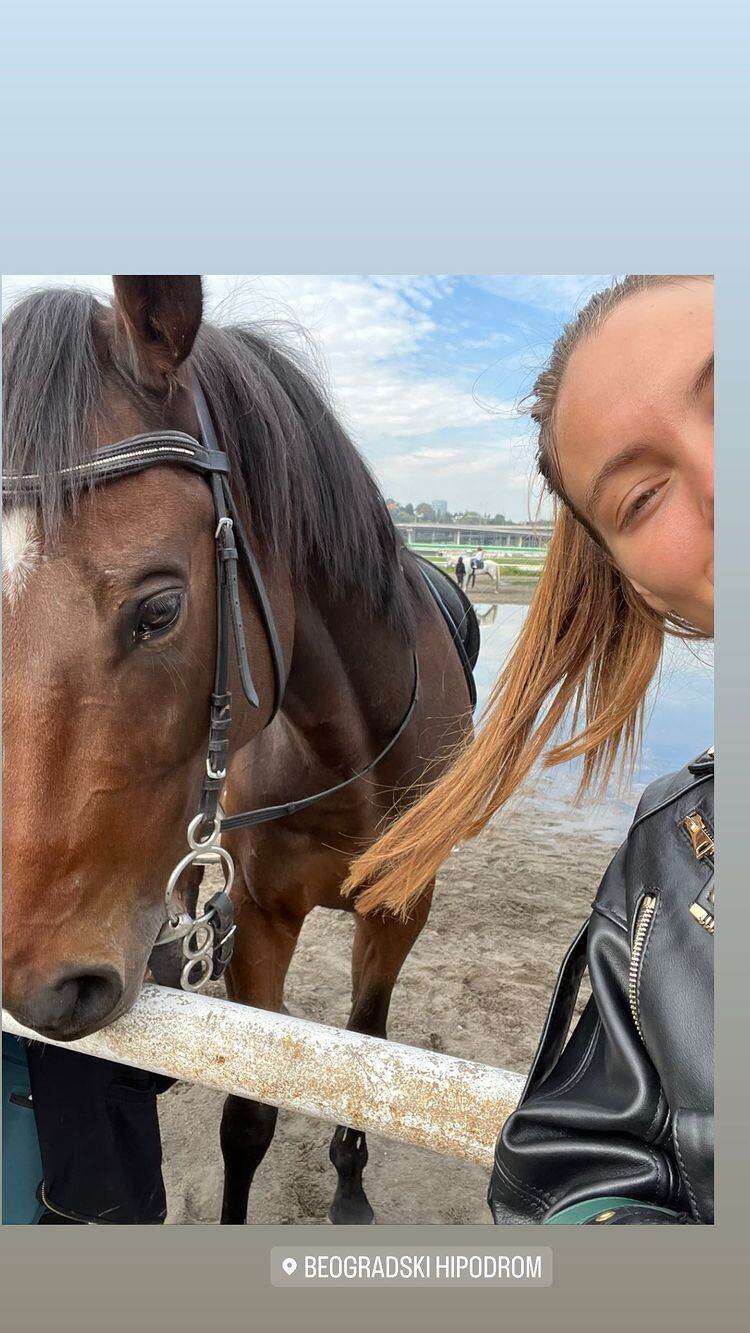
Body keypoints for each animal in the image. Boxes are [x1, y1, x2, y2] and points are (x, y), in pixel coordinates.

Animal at [2, 276, 477, 1226]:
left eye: (159, 608)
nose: (41, 987)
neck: (349, 755)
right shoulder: (261, 912)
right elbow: (250, 1112)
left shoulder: (400, 910)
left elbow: (364, 1054)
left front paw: (349, 1180)